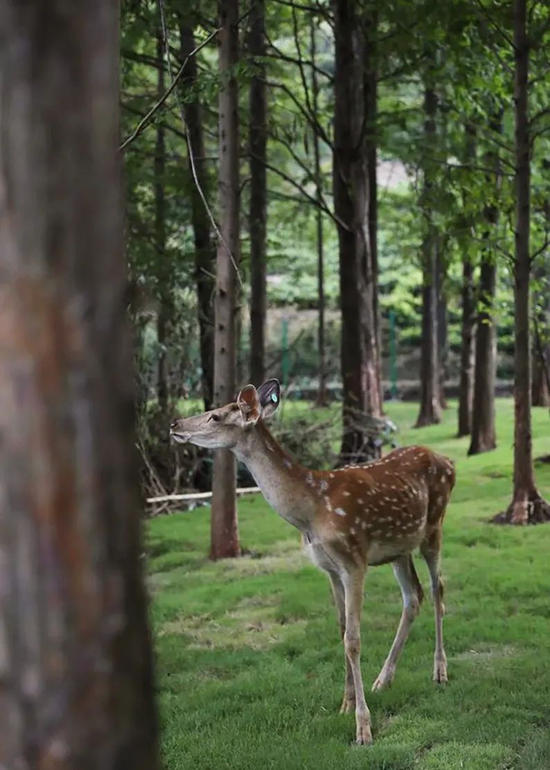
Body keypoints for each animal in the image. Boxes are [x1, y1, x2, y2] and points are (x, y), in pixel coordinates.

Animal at [171, 378, 458, 744]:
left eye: (216, 416)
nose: (175, 424)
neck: (310, 512)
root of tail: (449, 461)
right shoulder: (329, 569)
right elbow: (341, 631)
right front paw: (345, 704)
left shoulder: (354, 561)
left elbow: (353, 640)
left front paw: (363, 728)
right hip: (399, 547)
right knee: (413, 596)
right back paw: (383, 679)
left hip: (434, 527)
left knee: (438, 591)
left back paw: (439, 671)